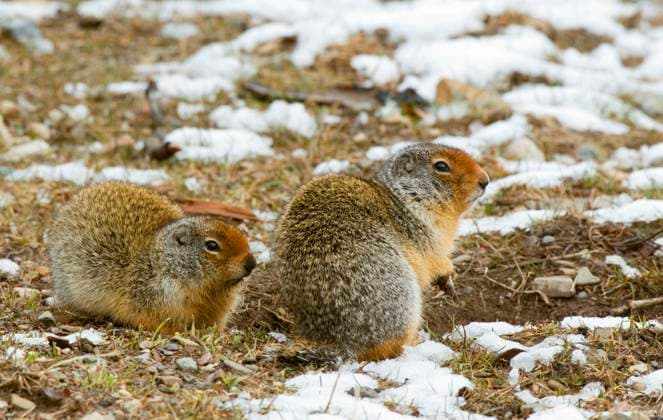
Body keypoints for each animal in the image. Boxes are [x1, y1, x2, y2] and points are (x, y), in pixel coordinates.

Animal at [276, 143, 489, 361]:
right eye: (441, 166)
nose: (485, 181)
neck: (403, 199)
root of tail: (341, 344)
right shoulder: (425, 235)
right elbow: (435, 260)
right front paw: (448, 275)